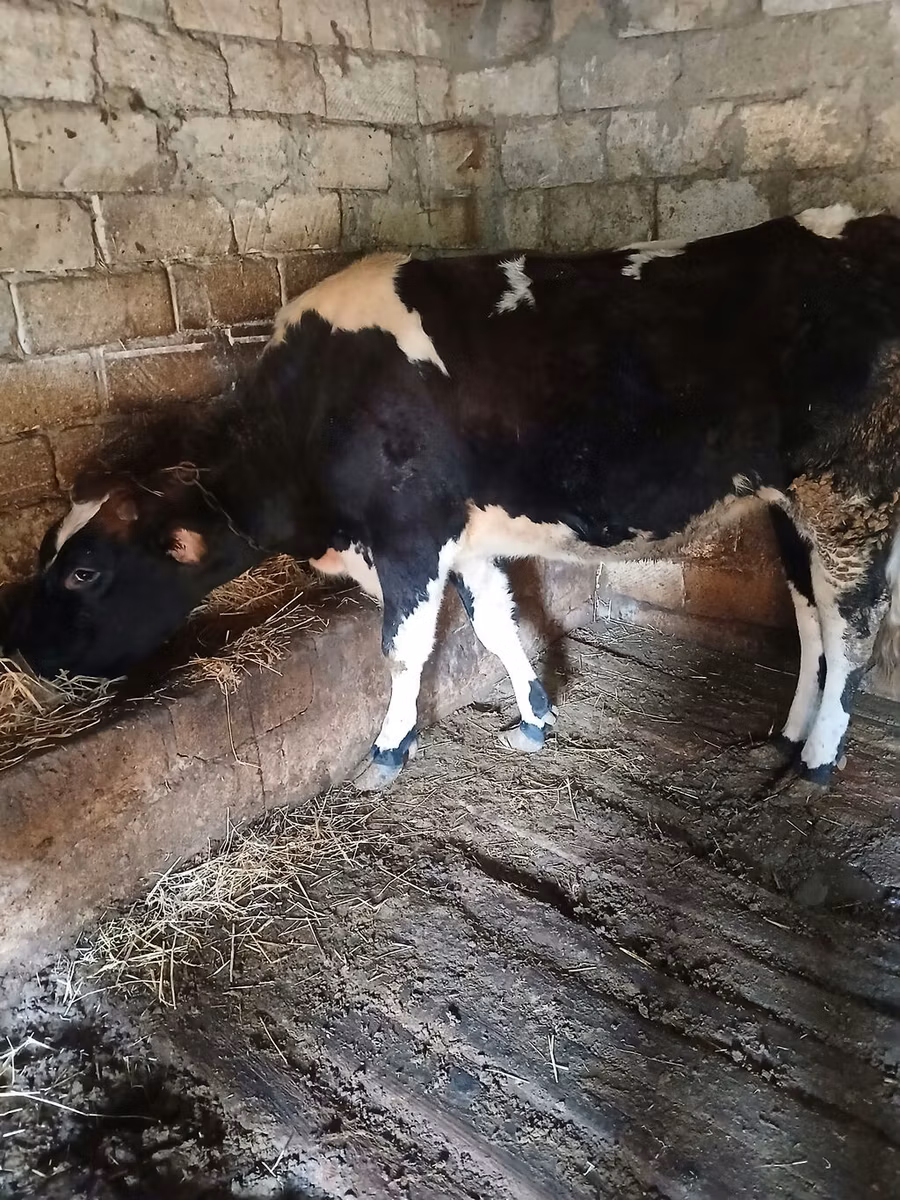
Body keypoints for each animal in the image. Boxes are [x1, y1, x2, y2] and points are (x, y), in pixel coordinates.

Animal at [6, 205, 900, 793]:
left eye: (84, 570)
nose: (22, 650)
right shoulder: (465, 541)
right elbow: (497, 627)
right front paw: (534, 719)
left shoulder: (410, 536)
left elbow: (405, 649)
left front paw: (388, 750)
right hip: (794, 506)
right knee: (811, 616)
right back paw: (787, 737)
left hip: (850, 493)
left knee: (853, 628)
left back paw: (818, 763)